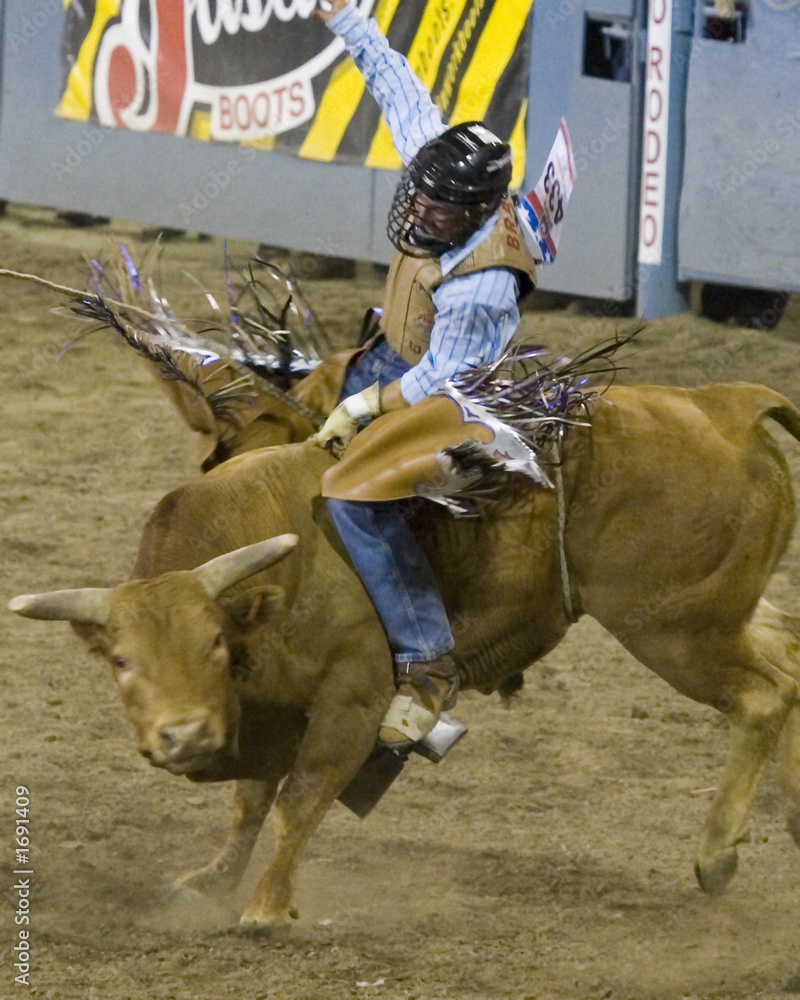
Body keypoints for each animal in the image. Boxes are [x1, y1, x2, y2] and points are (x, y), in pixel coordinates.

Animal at [9, 378, 800, 924]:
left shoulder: (350, 698)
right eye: (121, 661)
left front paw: (266, 909)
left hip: (675, 628)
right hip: (722, 613)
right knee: (788, 668)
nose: (184, 734)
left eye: (212, 642)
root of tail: (725, 402)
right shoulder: (270, 713)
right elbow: (250, 803)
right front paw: (213, 881)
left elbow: (298, 800)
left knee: (762, 696)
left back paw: (716, 853)